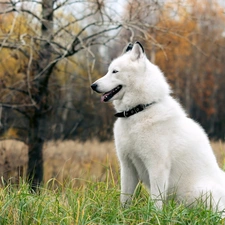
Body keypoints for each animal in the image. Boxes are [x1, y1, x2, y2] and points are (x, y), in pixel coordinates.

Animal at [90, 40, 225, 214]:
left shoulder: (157, 166)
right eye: (108, 71)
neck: (139, 110)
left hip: (200, 192)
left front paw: (155, 216)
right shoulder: (127, 165)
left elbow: (156, 200)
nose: (93, 85)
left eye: (115, 71)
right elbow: (125, 198)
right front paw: (123, 215)